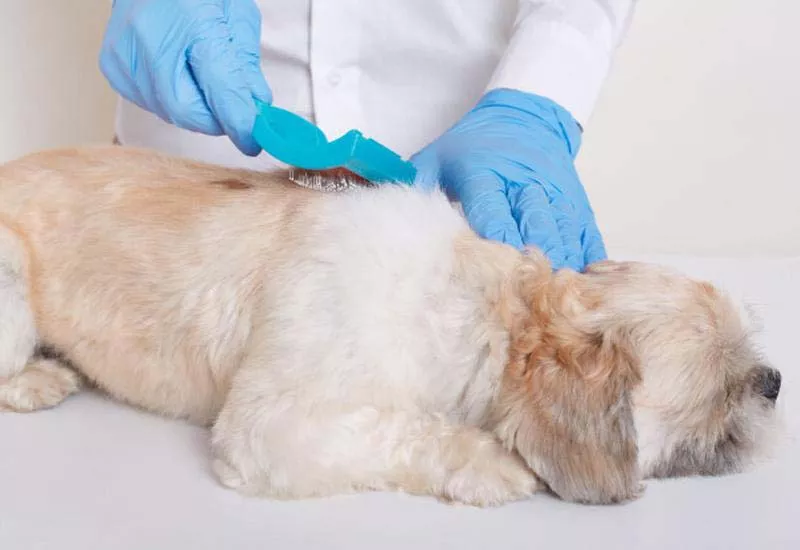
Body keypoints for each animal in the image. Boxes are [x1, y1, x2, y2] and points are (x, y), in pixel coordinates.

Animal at [0, 148, 780, 508]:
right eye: (723, 390)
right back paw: (40, 379)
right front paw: (492, 461)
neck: (481, 308)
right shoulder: (272, 426)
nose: (775, 380)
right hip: (11, 295)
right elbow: (408, 430)